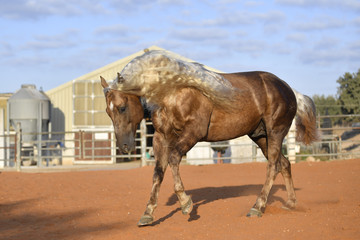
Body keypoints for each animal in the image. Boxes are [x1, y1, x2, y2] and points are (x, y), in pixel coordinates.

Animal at [100, 50, 316, 227]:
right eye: (107, 112)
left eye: (122, 107)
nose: (125, 147)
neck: (171, 91)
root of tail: (290, 90)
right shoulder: (161, 138)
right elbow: (158, 172)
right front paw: (148, 213)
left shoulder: (193, 132)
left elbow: (173, 159)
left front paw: (186, 203)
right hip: (261, 136)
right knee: (284, 164)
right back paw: (290, 203)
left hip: (275, 132)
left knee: (272, 166)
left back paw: (257, 207)